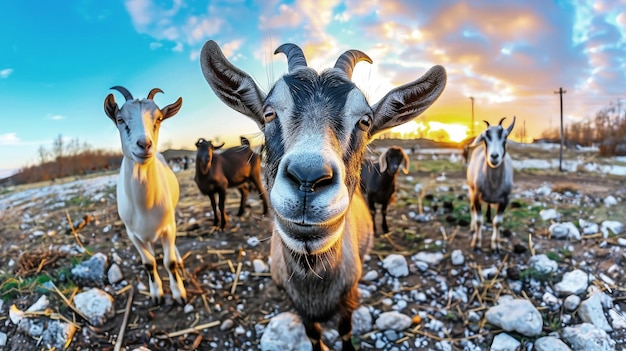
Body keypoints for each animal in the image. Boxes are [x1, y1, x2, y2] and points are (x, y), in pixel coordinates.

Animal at [102, 86, 185, 306]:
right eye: (120, 119)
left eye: (158, 119)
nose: (144, 144)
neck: (144, 206)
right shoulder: (133, 234)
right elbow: (148, 263)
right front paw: (156, 294)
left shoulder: (168, 227)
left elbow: (169, 262)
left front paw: (179, 293)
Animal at [200, 40, 444, 350]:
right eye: (268, 113)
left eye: (365, 121)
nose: (308, 179)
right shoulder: (297, 304)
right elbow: (313, 334)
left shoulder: (349, 296)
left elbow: (345, 330)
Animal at [466, 117, 516, 252]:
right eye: (485, 138)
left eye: (505, 137)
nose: (494, 156)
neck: (493, 185)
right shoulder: (476, 196)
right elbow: (479, 220)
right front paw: (476, 243)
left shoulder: (505, 200)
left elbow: (497, 222)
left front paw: (496, 245)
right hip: (471, 190)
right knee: (471, 208)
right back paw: (472, 227)